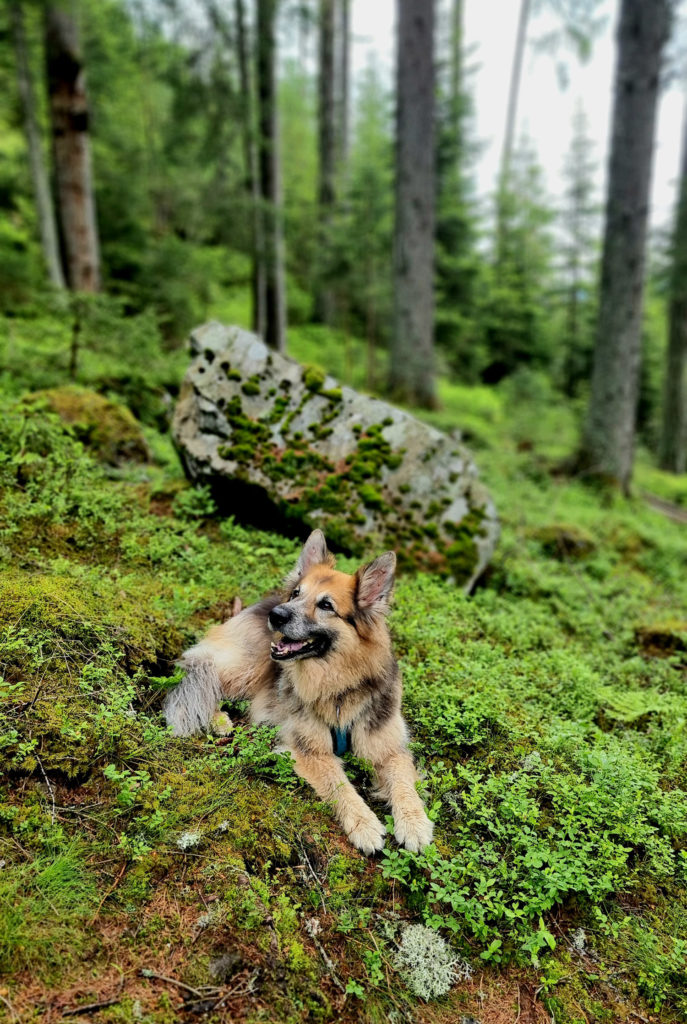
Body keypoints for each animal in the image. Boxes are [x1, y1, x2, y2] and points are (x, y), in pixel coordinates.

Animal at [163, 528, 432, 856]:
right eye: (296, 594)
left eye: (326, 605)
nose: (277, 615)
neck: (338, 685)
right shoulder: (310, 751)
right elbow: (340, 784)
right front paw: (364, 824)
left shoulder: (390, 749)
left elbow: (404, 783)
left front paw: (415, 823)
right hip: (247, 670)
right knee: (203, 675)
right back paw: (217, 719)